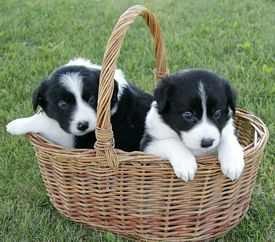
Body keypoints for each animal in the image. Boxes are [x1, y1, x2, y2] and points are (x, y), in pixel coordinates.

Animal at [7, 57, 153, 150]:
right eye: (62, 104)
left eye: (92, 100)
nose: (83, 125)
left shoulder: (74, 140)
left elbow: (47, 122)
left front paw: (15, 125)